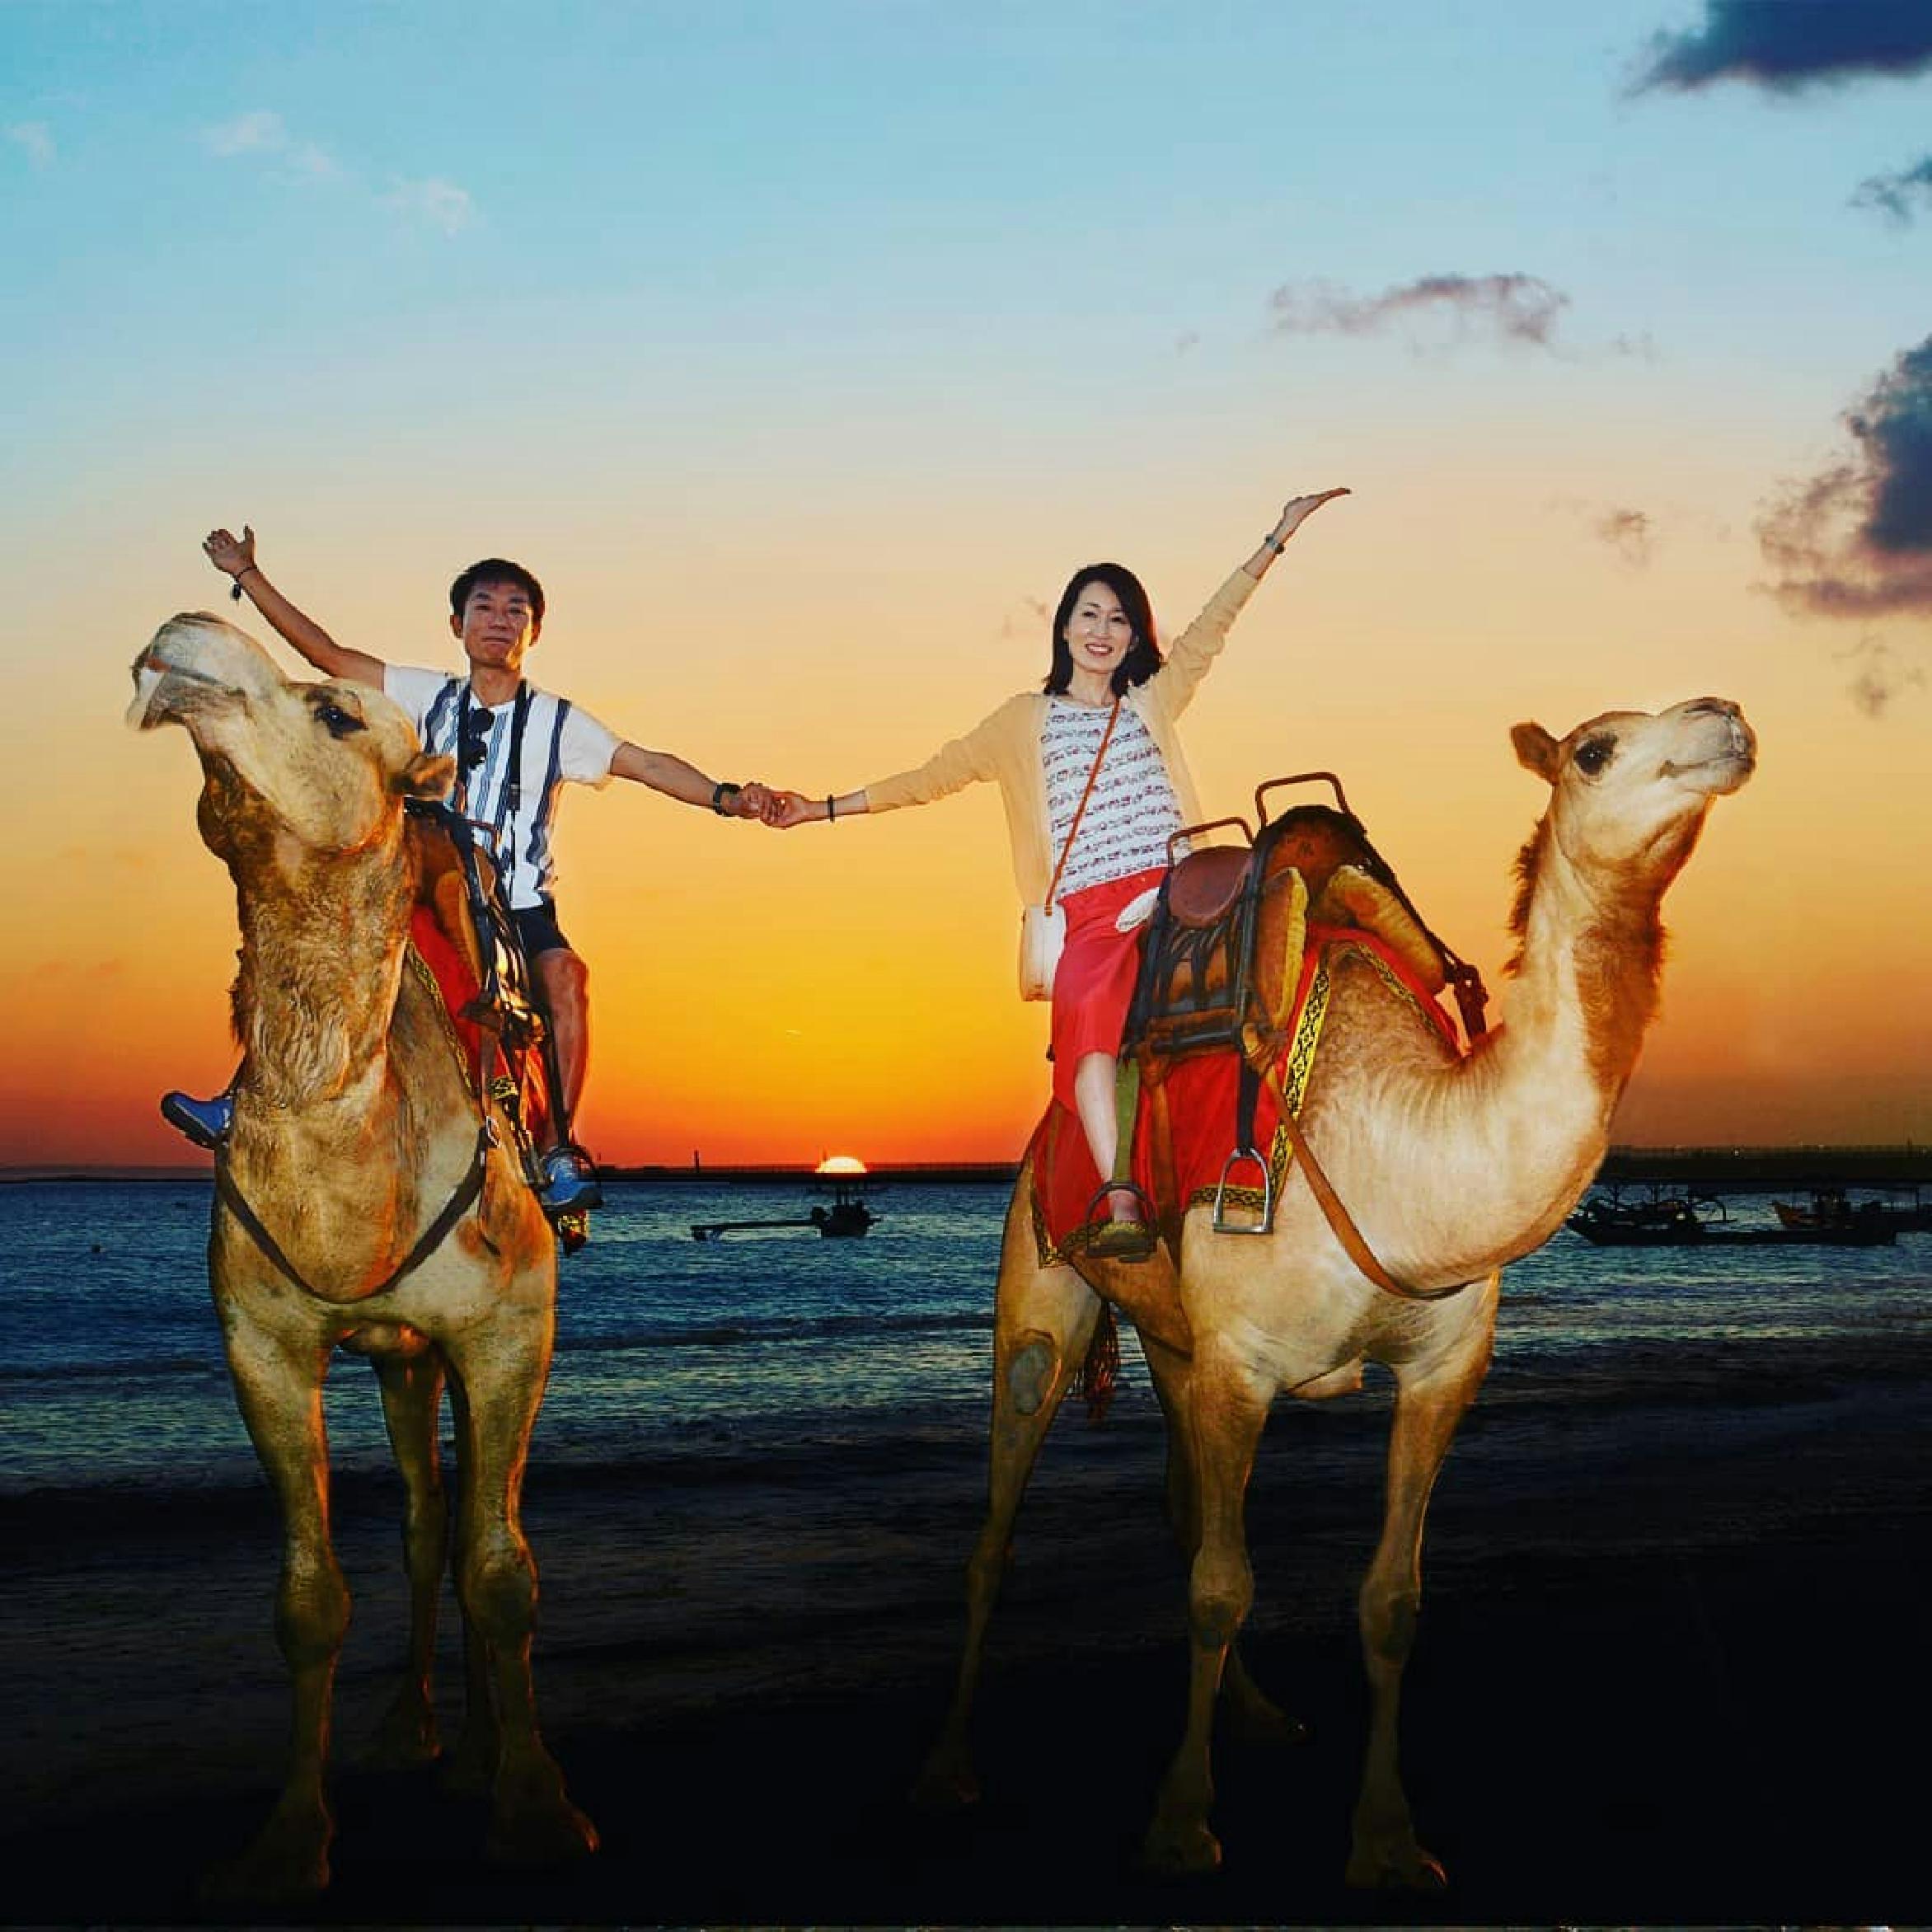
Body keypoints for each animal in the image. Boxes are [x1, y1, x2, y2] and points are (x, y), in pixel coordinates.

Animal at [128, 612, 596, 1902]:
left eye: (336, 711)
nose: (179, 638)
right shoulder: (264, 1342)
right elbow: (310, 1598)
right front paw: (290, 1841)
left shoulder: (510, 1329)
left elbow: (508, 1571)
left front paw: (536, 1810)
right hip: (396, 1357)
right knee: (427, 1516)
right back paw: (422, 1734)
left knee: (474, 1520)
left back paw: (485, 1751)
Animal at [914, 694, 1756, 1888]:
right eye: (1595, 749)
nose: (1725, 717)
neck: (1406, 1145)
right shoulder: (1243, 1363)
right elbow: (1222, 1585)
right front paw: (1183, 1824)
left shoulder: (1444, 1366)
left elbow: (1389, 1597)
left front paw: (1388, 1840)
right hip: (1040, 1290)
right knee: (1000, 1527)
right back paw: (949, 1767)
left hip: (1173, 1341)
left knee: (1181, 1509)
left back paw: (1259, 1714)